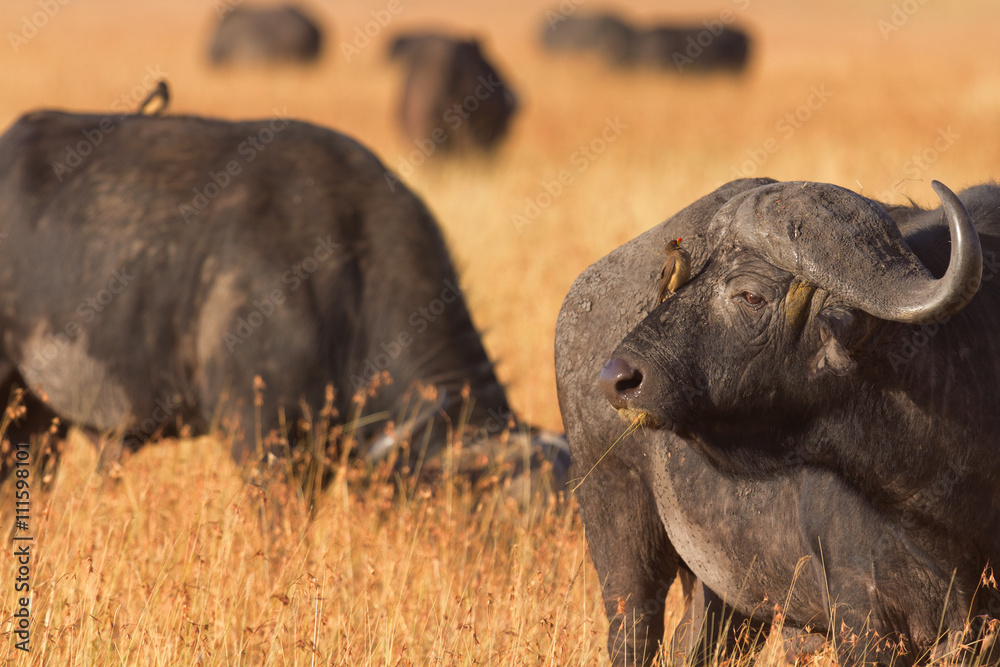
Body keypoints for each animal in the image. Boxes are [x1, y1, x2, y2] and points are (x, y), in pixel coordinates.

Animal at [555, 178, 1000, 665]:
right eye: (692, 278)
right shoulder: (863, 617)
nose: (618, 378)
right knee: (632, 632)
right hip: (618, 528)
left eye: (751, 295)